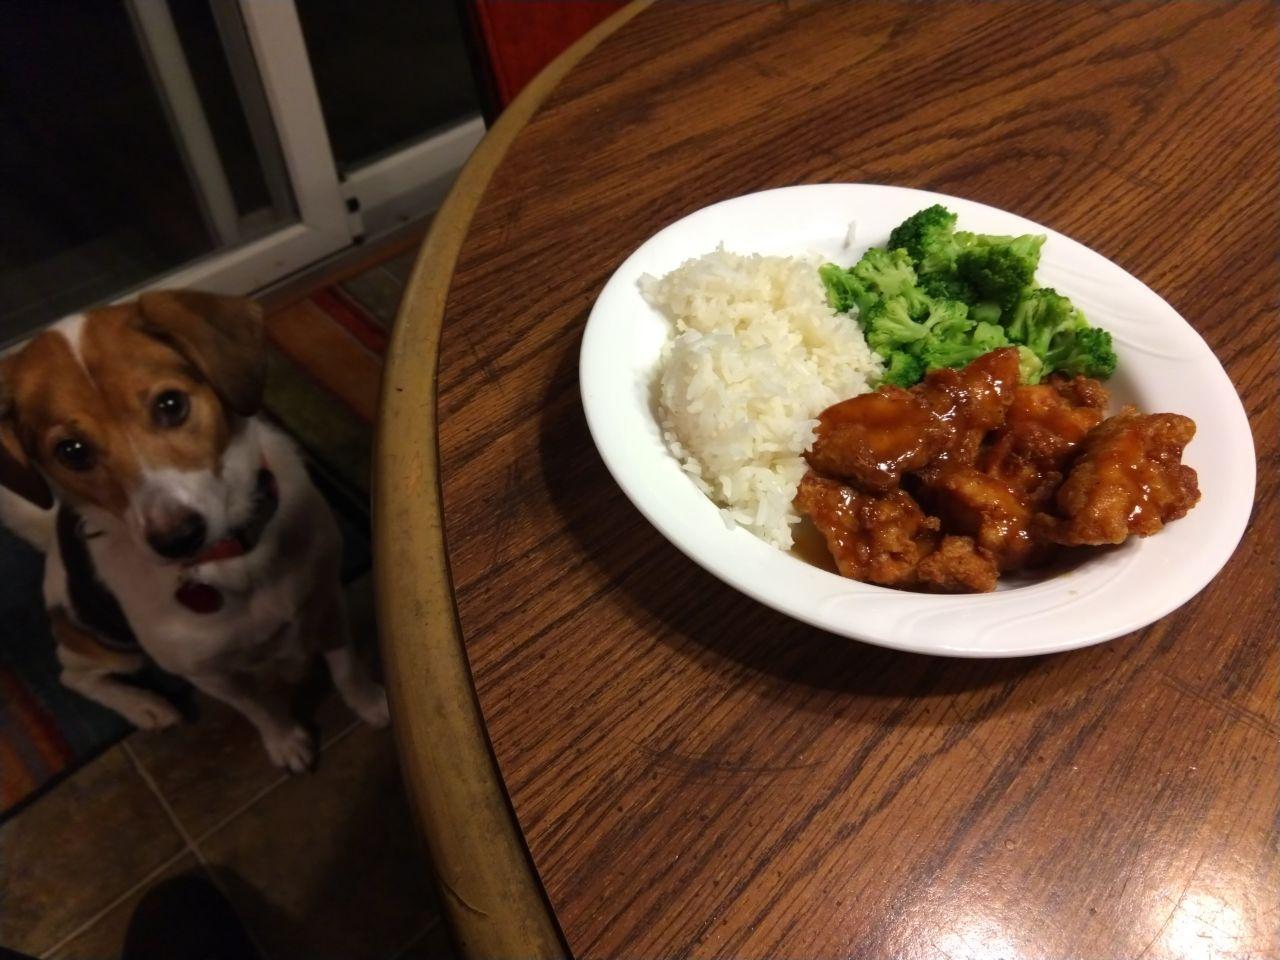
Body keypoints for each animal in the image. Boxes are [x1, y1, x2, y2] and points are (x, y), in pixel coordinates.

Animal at [1, 293, 389, 773]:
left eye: (171, 405)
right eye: (71, 451)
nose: (176, 539)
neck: (234, 559)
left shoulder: (325, 597)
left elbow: (346, 667)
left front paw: (371, 703)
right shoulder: (208, 673)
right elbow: (260, 709)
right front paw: (284, 741)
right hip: (108, 644)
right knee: (72, 674)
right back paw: (144, 706)